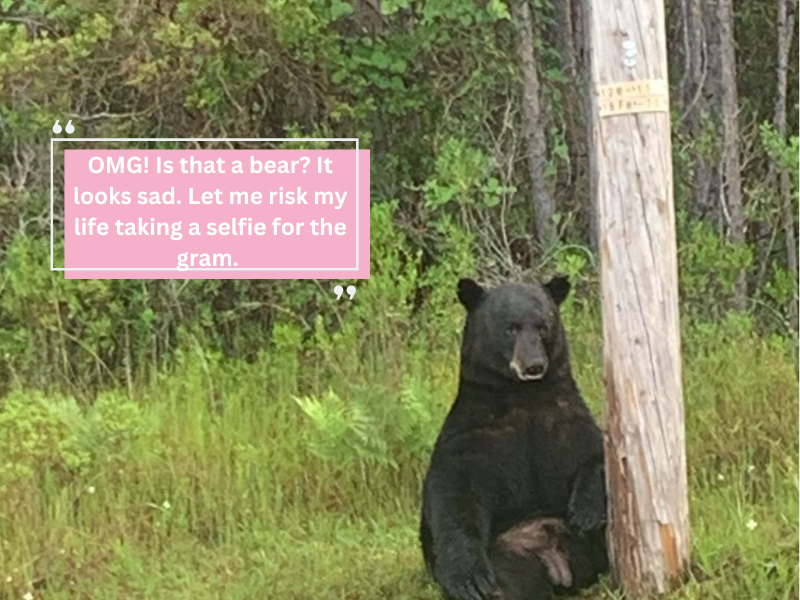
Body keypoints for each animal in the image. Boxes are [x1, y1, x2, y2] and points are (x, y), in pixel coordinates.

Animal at [420, 276, 608, 600]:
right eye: (510, 328)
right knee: (508, 580)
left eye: (543, 326)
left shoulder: (565, 417)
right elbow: (455, 495)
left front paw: (586, 509)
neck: (524, 396)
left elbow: (595, 451)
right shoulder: (474, 435)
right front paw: (469, 581)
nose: (533, 365)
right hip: (510, 554)